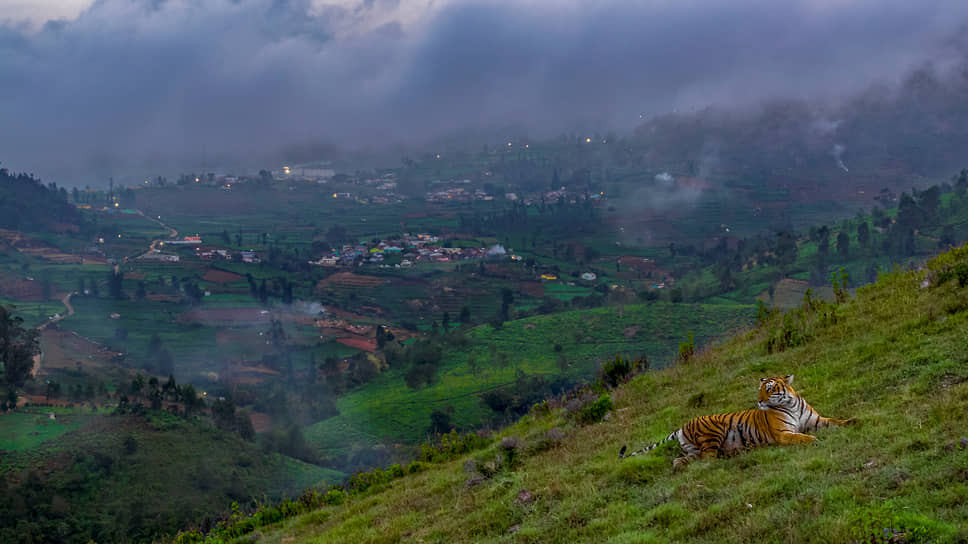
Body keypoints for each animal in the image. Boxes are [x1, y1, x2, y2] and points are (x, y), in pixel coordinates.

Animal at [620, 374, 856, 472]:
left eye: (769, 388)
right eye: (760, 389)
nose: (759, 401)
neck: (790, 404)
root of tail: (681, 427)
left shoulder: (816, 420)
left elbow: (834, 421)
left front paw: (853, 421)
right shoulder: (783, 433)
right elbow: (800, 437)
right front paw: (813, 440)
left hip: (692, 449)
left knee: (682, 460)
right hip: (714, 433)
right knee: (709, 458)